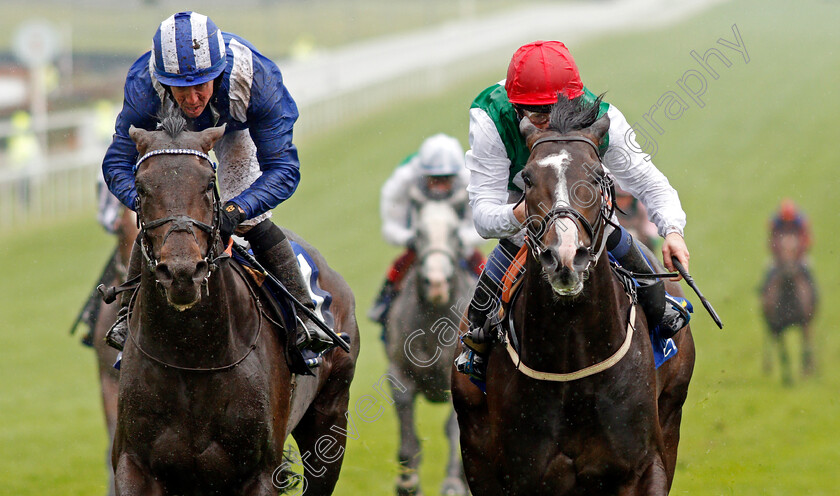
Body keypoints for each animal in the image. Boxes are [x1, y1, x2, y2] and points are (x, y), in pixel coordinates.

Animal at [386, 187, 476, 496]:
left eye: (454, 232)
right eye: (419, 232)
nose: (436, 283)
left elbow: (452, 427)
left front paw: (452, 481)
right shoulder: (398, 372)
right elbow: (405, 414)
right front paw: (407, 479)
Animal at [452, 99, 696, 494]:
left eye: (597, 175)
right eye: (528, 179)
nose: (566, 256)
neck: (574, 360)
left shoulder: (644, 465)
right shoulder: (521, 476)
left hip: (672, 408)